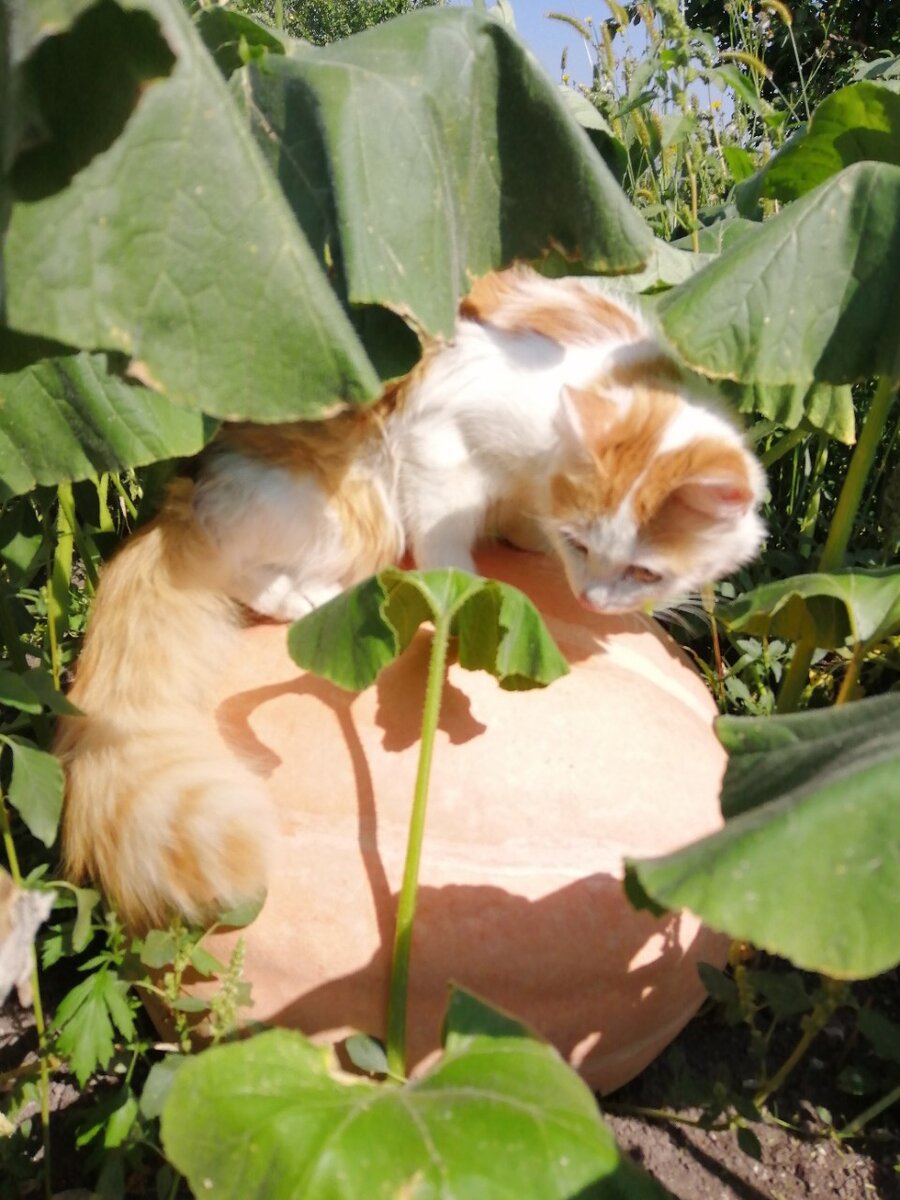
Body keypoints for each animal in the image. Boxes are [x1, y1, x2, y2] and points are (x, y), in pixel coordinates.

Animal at [55, 266, 765, 930]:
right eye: (583, 544)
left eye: (644, 572)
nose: (591, 600)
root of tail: (185, 496)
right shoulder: (440, 439)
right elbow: (448, 539)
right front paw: (466, 591)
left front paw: (524, 542)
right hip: (352, 508)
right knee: (236, 565)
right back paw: (303, 598)